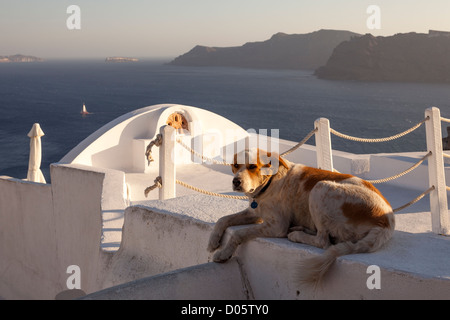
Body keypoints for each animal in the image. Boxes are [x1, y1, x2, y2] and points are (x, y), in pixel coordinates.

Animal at [207, 149, 394, 286]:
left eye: (253, 166)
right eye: (235, 165)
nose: (236, 182)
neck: (269, 182)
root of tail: (386, 223)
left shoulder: (277, 226)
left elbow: (238, 234)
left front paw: (224, 253)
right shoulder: (255, 214)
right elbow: (223, 219)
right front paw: (213, 241)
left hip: (320, 188)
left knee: (323, 241)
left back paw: (297, 234)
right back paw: (300, 228)